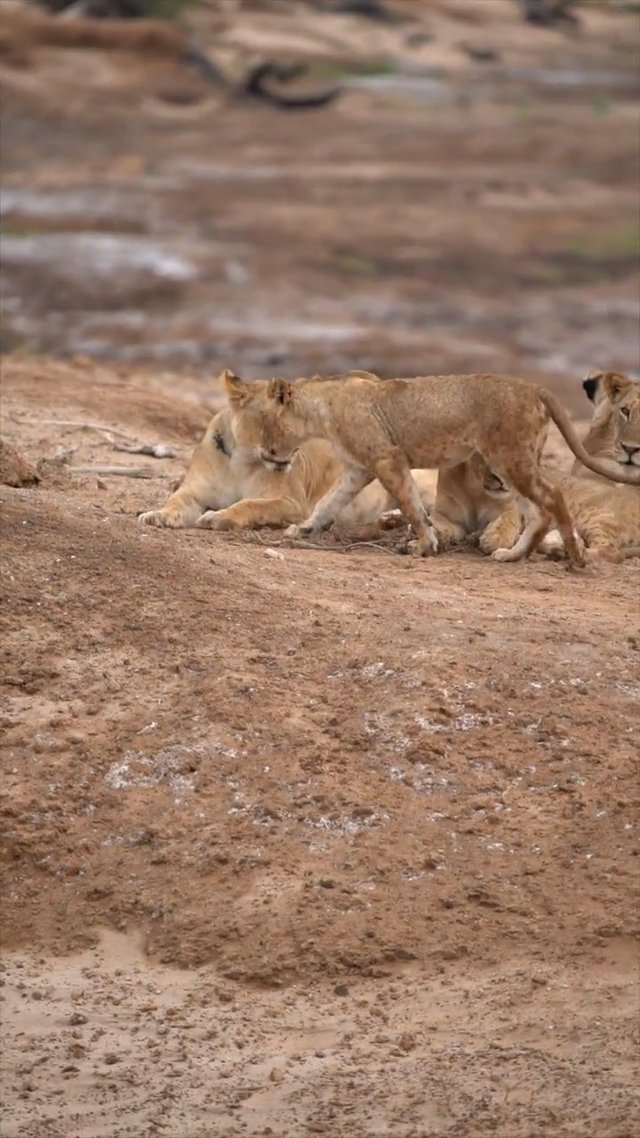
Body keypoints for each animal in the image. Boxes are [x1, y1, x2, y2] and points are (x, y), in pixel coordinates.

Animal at [221, 369, 640, 569]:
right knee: (537, 512)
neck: (323, 409)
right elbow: (329, 503)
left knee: (552, 499)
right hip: (512, 463)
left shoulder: (387, 458)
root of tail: (533, 387)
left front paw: (423, 545)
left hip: (509, 458)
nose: (269, 452)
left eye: (265, 424)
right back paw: (512, 556)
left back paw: (575, 556)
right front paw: (304, 529)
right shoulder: (361, 468)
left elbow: (411, 505)